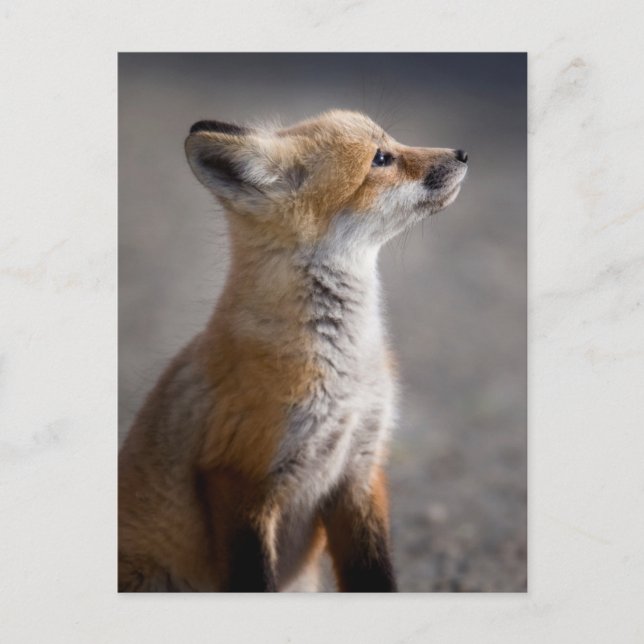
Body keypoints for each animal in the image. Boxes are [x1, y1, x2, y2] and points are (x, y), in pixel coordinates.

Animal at [118, 109, 468, 592]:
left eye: (392, 142)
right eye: (380, 158)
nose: (462, 153)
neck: (345, 376)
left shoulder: (361, 467)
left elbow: (374, 573)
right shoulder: (239, 477)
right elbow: (253, 580)